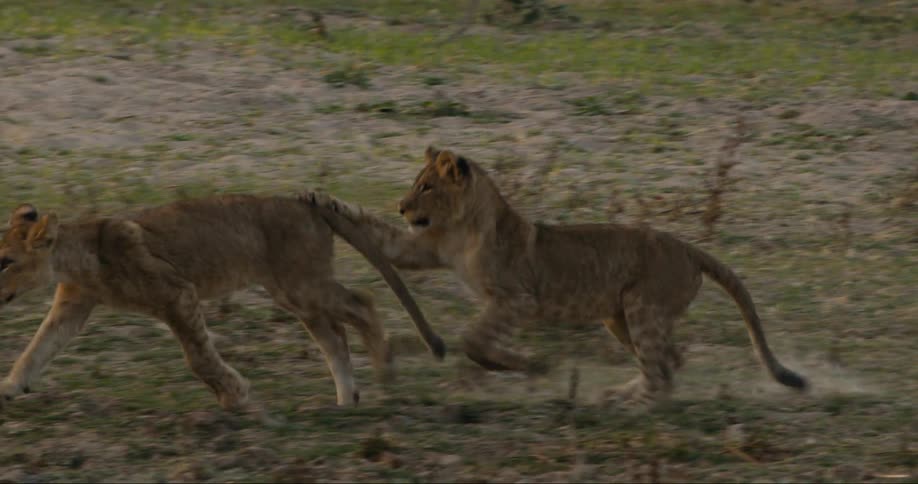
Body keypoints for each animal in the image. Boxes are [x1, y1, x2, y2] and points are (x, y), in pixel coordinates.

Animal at [0, 194, 444, 412]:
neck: (75, 257)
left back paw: (384, 371)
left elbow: (198, 357)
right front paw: (10, 388)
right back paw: (344, 401)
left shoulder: (177, 292)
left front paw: (234, 395)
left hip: (303, 284)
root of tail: (307, 203)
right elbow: (36, 349)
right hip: (293, 292)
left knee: (363, 302)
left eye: (5, 261)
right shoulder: (72, 306)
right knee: (334, 337)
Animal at [302, 146, 808, 407]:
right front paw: (323, 199)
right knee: (670, 360)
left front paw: (527, 365)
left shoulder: (518, 298)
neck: (463, 226)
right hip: (620, 318)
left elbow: (475, 339)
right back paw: (618, 392)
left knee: (661, 370)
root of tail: (689, 247)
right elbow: (378, 234)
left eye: (427, 186)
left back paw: (626, 400)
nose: (402, 207)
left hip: (642, 309)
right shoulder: (420, 248)